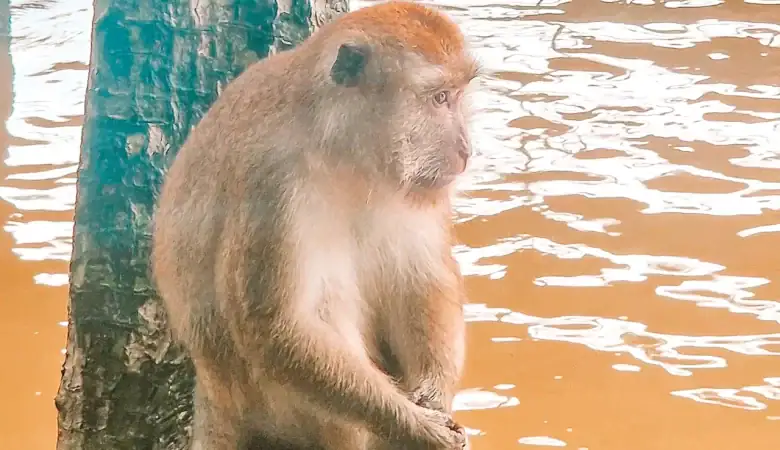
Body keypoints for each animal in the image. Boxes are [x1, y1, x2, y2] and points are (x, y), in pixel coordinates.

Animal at [150, 1, 479, 449]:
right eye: (439, 98)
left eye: (457, 96)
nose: (465, 150)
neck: (343, 153)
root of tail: (214, 395)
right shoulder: (272, 184)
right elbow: (277, 326)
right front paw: (416, 425)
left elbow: (425, 277)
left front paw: (433, 396)